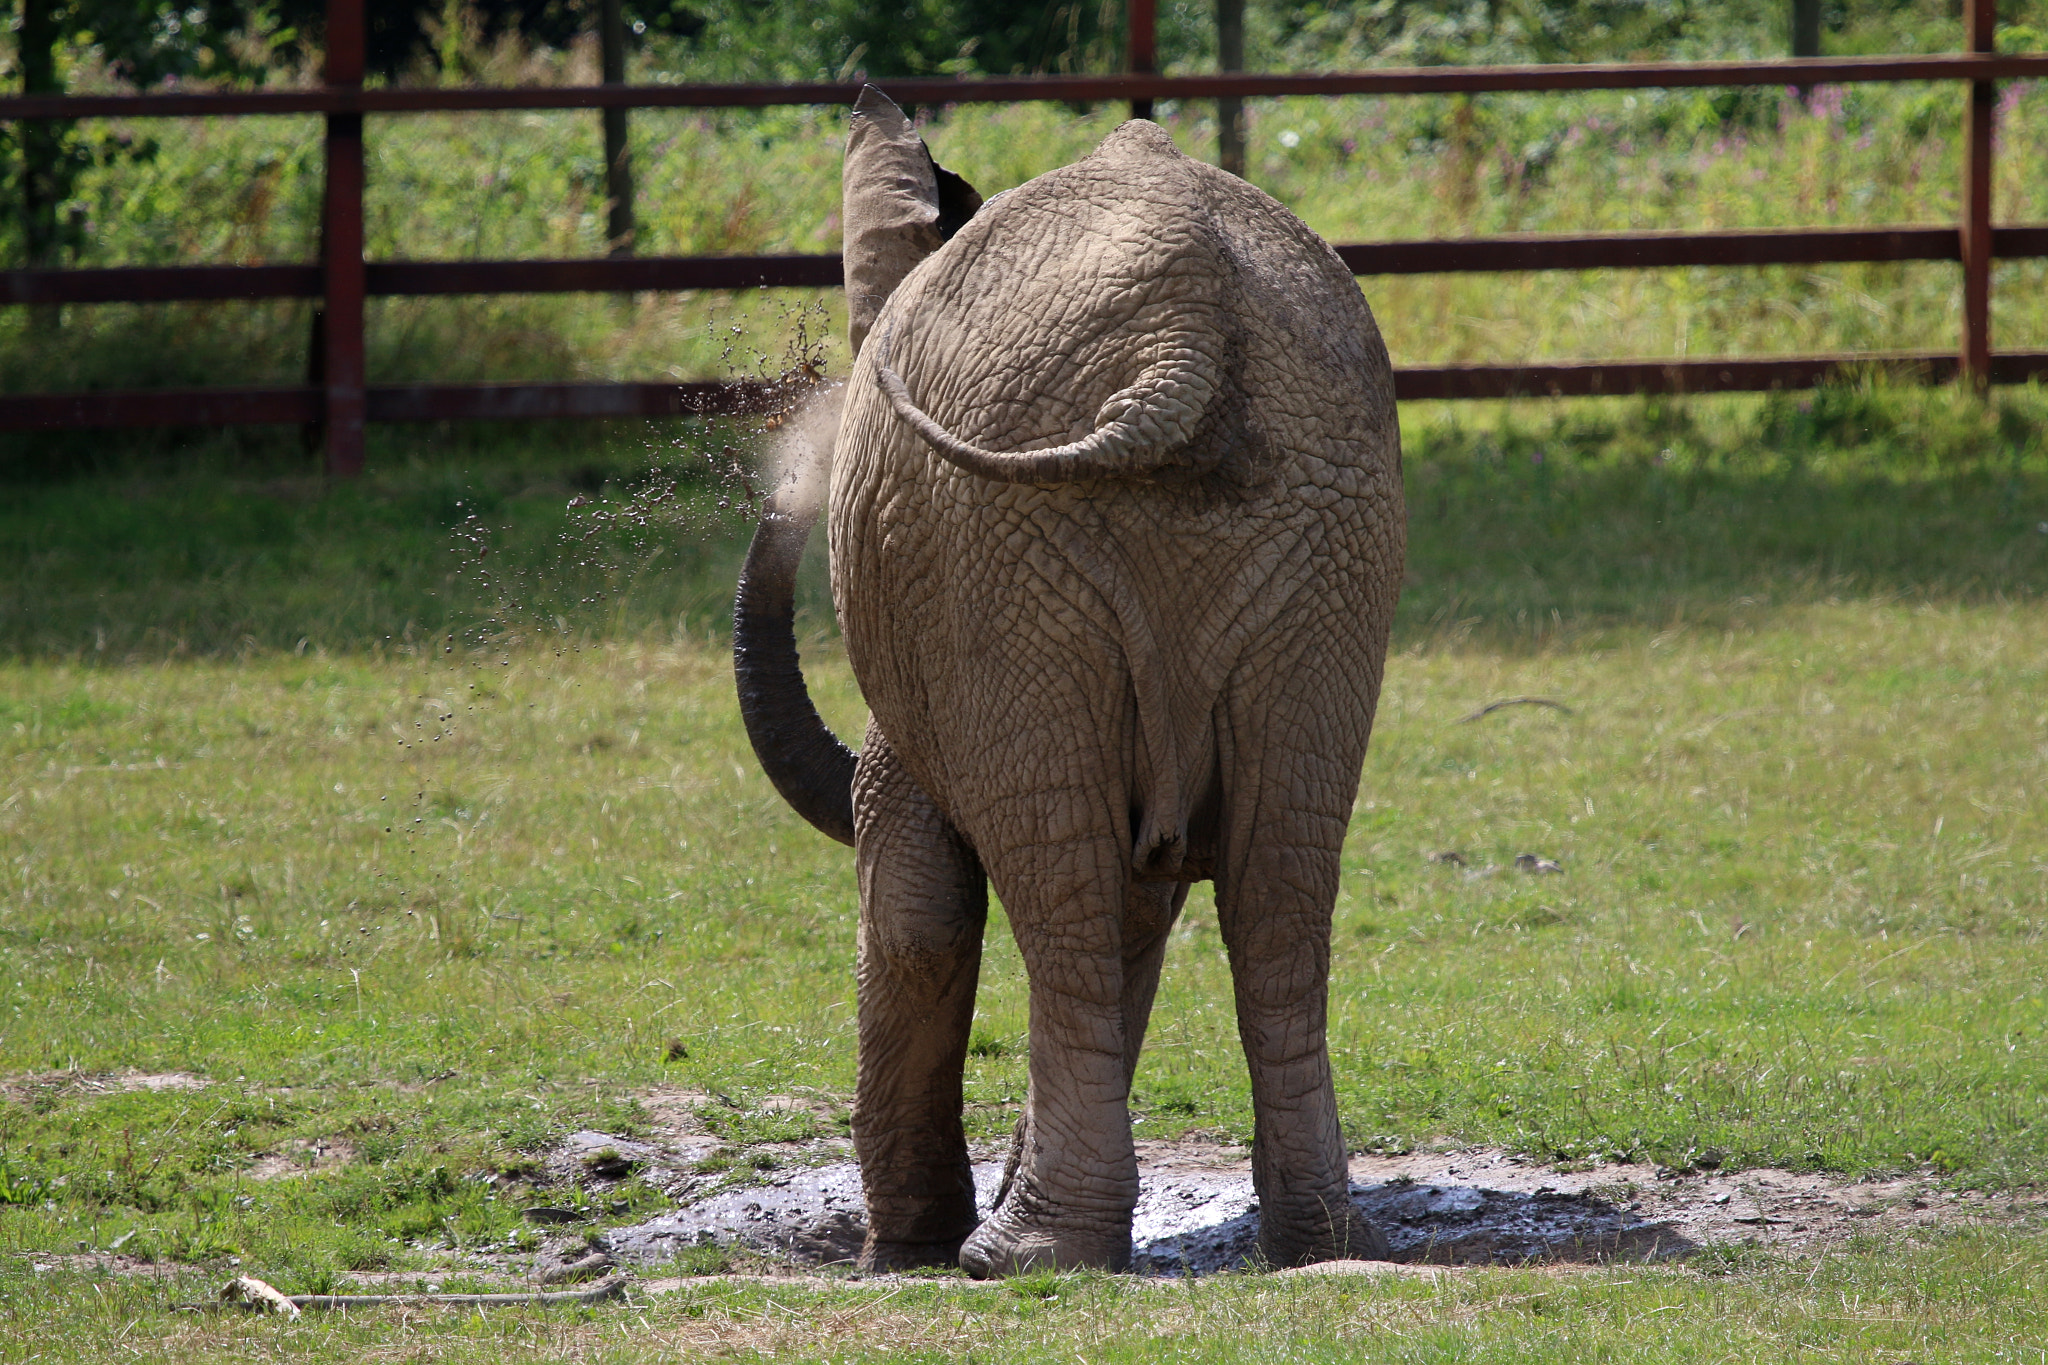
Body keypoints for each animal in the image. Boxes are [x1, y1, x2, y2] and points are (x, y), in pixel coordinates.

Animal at [737, 87, 1409, 1285]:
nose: (790, 458)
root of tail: (1186, 338)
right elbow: (1144, 897)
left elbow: (916, 908)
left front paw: (900, 1255)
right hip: (1330, 532)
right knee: (1277, 882)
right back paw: (1316, 1246)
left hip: (1002, 548)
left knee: (1062, 882)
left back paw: (1015, 1255)